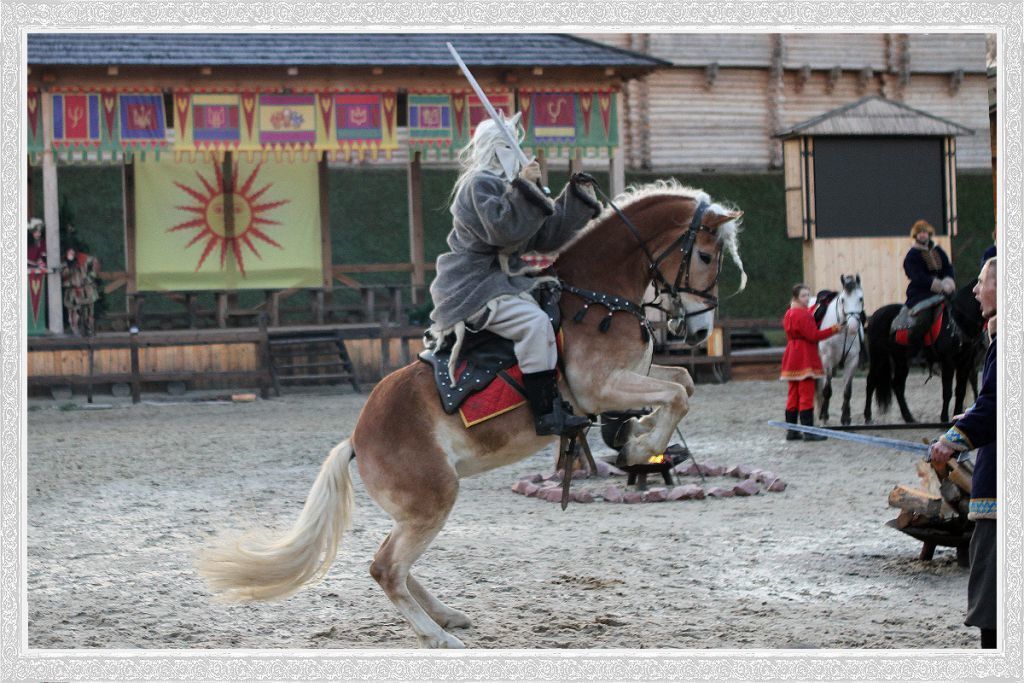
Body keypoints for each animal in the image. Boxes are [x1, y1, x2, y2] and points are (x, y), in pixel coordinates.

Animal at [197, 180, 745, 647]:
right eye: (704, 255)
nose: (700, 331)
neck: (594, 297)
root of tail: (357, 439)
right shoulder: (600, 387)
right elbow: (677, 395)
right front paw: (641, 443)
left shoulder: (633, 376)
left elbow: (682, 383)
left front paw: (633, 436)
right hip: (435, 499)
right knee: (385, 568)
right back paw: (437, 636)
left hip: (418, 509)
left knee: (392, 563)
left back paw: (445, 616)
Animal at [815, 274, 864, 423]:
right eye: (843, 300)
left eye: (861, 298)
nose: (853, 326)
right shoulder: (827, 361)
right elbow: (827, 390)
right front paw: (824, 416)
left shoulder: (852, 361)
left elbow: (847, 391)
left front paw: (846, 417)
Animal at [864, 280, 983, 423]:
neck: (958, 318)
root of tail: (875, 315)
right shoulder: (948, 361)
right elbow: (947, 392)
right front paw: (944, 418)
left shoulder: (965, 362)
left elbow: (960, 391)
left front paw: (956, 417)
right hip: (879, 356)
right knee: (871, 381)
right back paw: (868, 416)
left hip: (901, 360)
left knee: (897, 385)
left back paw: (909, 417)